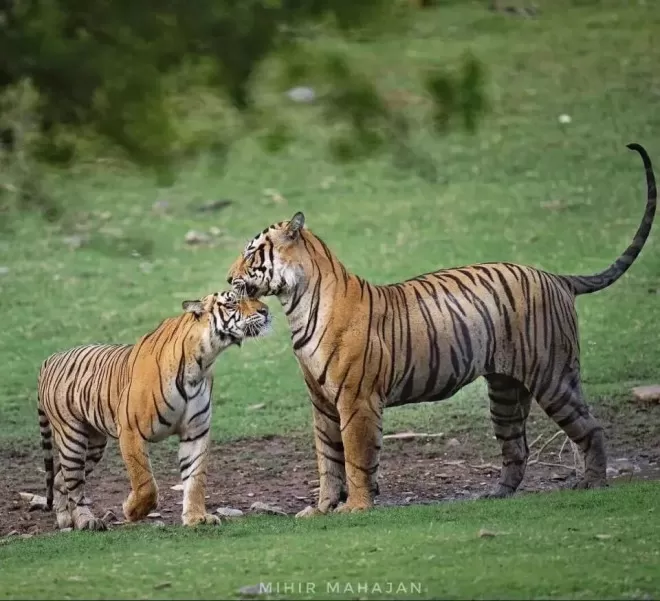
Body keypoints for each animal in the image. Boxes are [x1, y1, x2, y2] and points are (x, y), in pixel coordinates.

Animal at [37, 290, 271, 530]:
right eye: (232, 302)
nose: (266, 310)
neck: (202, 361)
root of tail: (51, 358)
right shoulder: (130, 431)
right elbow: (145, 481)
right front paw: (132, 511)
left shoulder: (196, 432)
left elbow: (195, 478)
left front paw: (196, 517)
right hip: (72, 437)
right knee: (74, 484)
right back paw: (86, 521)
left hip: (94, 443)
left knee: (60, 478)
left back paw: (65, 520)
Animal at [227, 143, 656, 517]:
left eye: (251, 253)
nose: (229, 278)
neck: (297, 305)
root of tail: (556, 277)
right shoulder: (321, 402)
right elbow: (328, 459)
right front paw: (320, 509)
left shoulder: (356, 398)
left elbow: (355, 457)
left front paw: (356, 507)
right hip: (505, 390)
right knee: (516, 447)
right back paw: (496, 495)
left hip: (552, 376)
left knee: (590, 428)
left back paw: (593, 484)